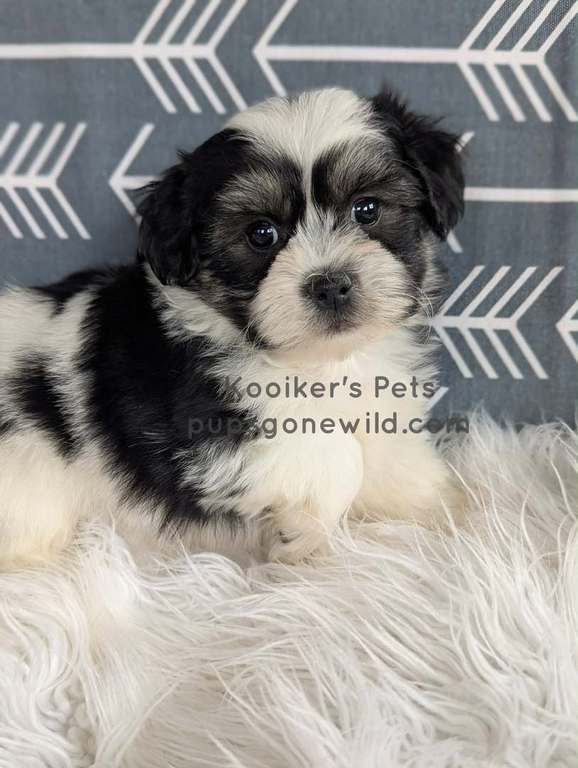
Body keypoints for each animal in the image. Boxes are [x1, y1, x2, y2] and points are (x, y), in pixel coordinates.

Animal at [0, 87, 465, 567]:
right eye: (261, 234)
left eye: (367, 209)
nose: (330, 284)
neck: (317, 362)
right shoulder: (207, 429)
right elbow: (338, 453)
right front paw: (302, 536)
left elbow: (388, 449)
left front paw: (442, 511)